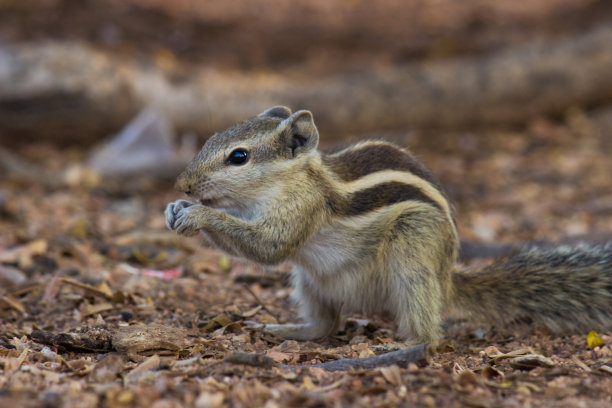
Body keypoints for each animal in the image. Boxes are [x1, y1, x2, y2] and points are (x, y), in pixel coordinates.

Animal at [165, 106, 612, 344]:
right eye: (211, 138)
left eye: (238, 157)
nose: (182, 183)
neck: (292, 180)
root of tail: (447, 277)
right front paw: (175, 209)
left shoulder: (301, 209)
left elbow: (269, 247)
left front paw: (198, 214)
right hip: (309, 281)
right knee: (325, 324)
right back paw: (285, 329)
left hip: (412, 247)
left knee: (428, 330)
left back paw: (401, 348)